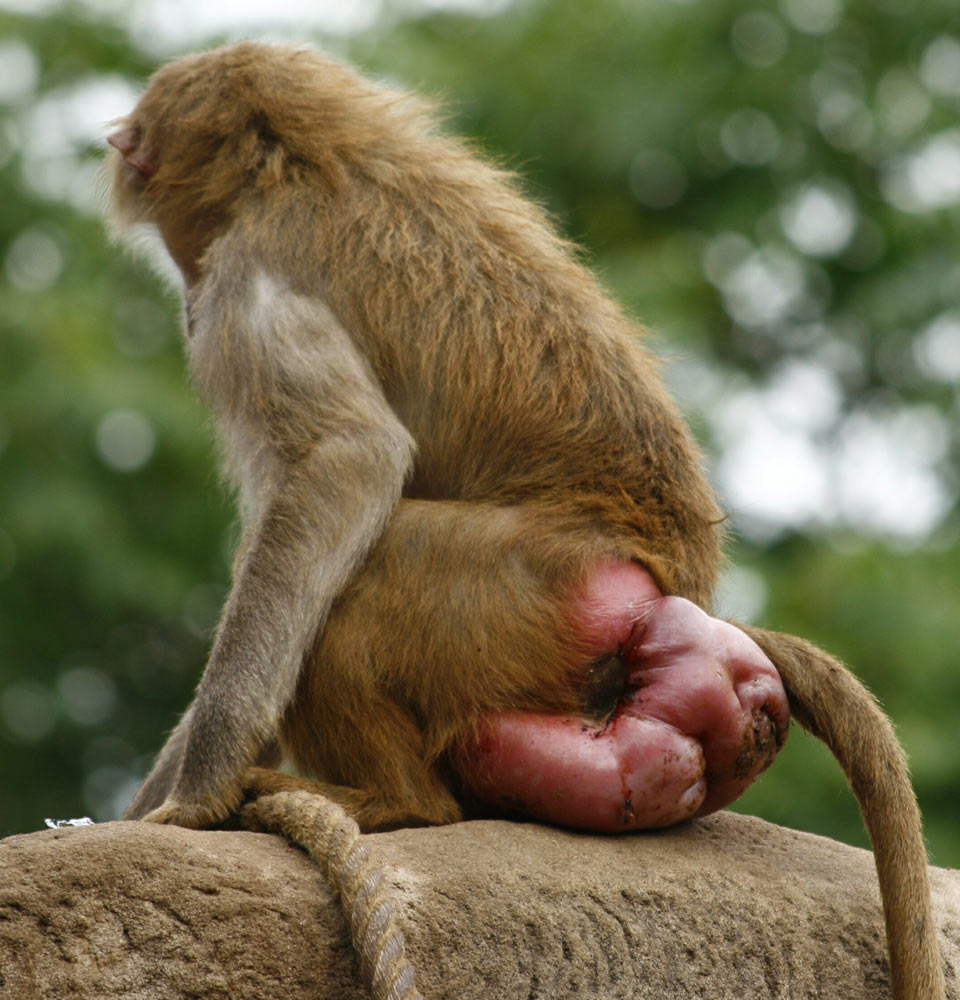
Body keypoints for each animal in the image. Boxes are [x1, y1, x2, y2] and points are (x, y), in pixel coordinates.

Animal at [103, 41, 936, 1000]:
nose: (124, 158)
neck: (312, 159)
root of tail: (676, 587)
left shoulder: (247, 286)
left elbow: (345, 464)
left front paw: (195, 796)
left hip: (520, 590)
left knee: (362, 581)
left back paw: (391, 804)